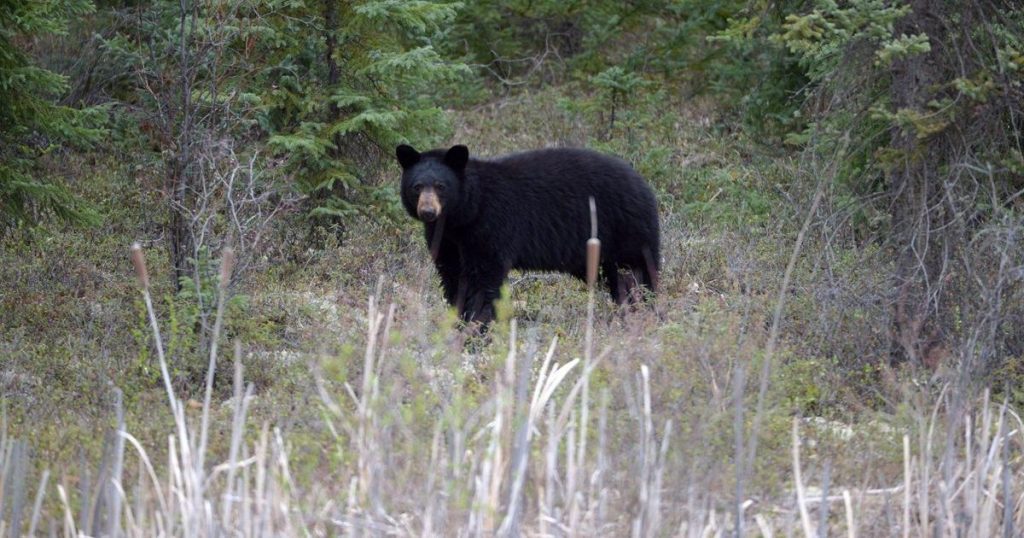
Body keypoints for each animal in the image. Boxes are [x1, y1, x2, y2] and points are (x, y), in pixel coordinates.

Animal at [396, 144, 660, 328]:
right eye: (417, 186)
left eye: (441, 186)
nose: (428, 212)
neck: (464, 214)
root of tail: (643, 183)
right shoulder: (447, 239)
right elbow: (452, 276)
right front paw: (458, 321)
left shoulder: (490, 227)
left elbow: (484, 279)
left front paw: (477, 326)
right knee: (619, 278)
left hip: (626, 230)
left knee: (641, 272)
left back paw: (646, 310)